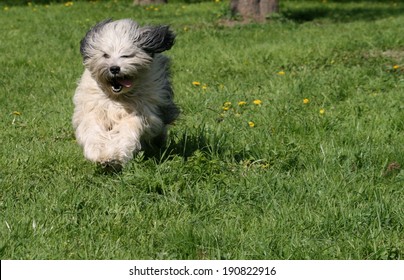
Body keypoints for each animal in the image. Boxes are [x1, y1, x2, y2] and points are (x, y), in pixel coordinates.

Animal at [73, 19, 180, 168]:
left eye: (126, 55)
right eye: (105, 55)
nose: (114, 68)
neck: (118, 97)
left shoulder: (140, 112)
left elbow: (126, 131)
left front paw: (114, 155)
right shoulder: (94, 109)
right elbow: (93, 130)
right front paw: (99, 154)